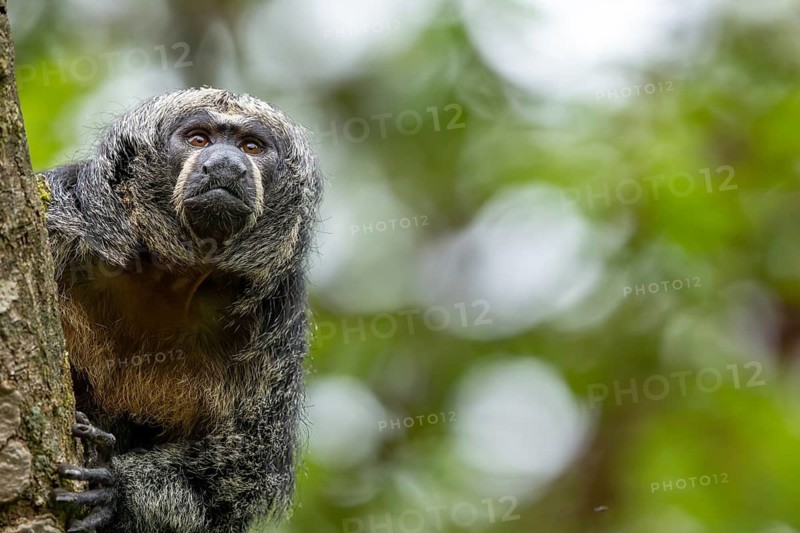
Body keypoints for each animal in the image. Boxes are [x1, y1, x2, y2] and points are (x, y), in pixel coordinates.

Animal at [43, 87, 322, 533]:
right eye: (198, 139)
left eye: (251, 147)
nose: (226, 164)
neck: (165, 278)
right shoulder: (61, 219)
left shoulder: (275, 324)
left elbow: (235, 476)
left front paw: (116, 493)